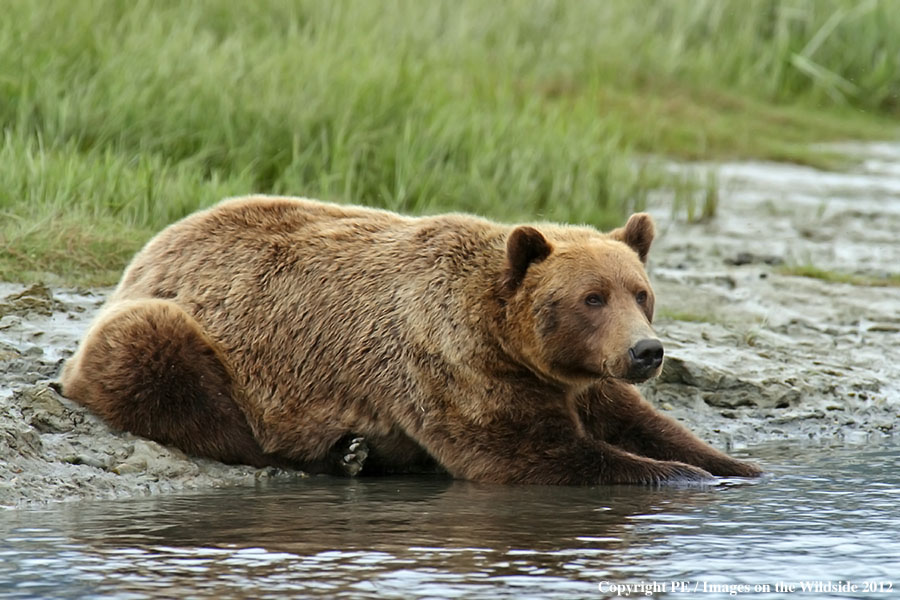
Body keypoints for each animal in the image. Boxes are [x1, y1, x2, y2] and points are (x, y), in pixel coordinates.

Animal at [61, 195, 761, 484]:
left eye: (639, 293)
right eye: (592, 298)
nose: (646, 352)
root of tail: (149, 250)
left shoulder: (579, 379)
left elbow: (642, 423)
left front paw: (736, 466)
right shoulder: (453, 367)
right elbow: (530, 453)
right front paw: (681, 477)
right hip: (183, 330)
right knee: (160, 363)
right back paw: (338, 454)